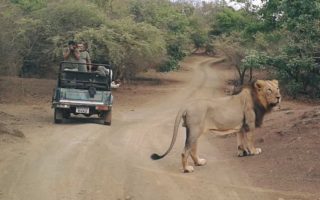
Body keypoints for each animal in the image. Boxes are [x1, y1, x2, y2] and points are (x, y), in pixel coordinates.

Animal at [151, 79, 282, 172]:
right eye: (269, 90)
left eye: (277, 88)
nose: (279, 97)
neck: (259, 101)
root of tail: (187, 105)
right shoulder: (249, 124)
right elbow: (250, 140)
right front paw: (254, 151)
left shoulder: (240, 126)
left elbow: (240, 141)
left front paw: (242, 153)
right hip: (195, 130)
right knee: (185, 151)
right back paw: (187, 169)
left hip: (192, 131)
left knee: (192, 149)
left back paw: (199, 162)